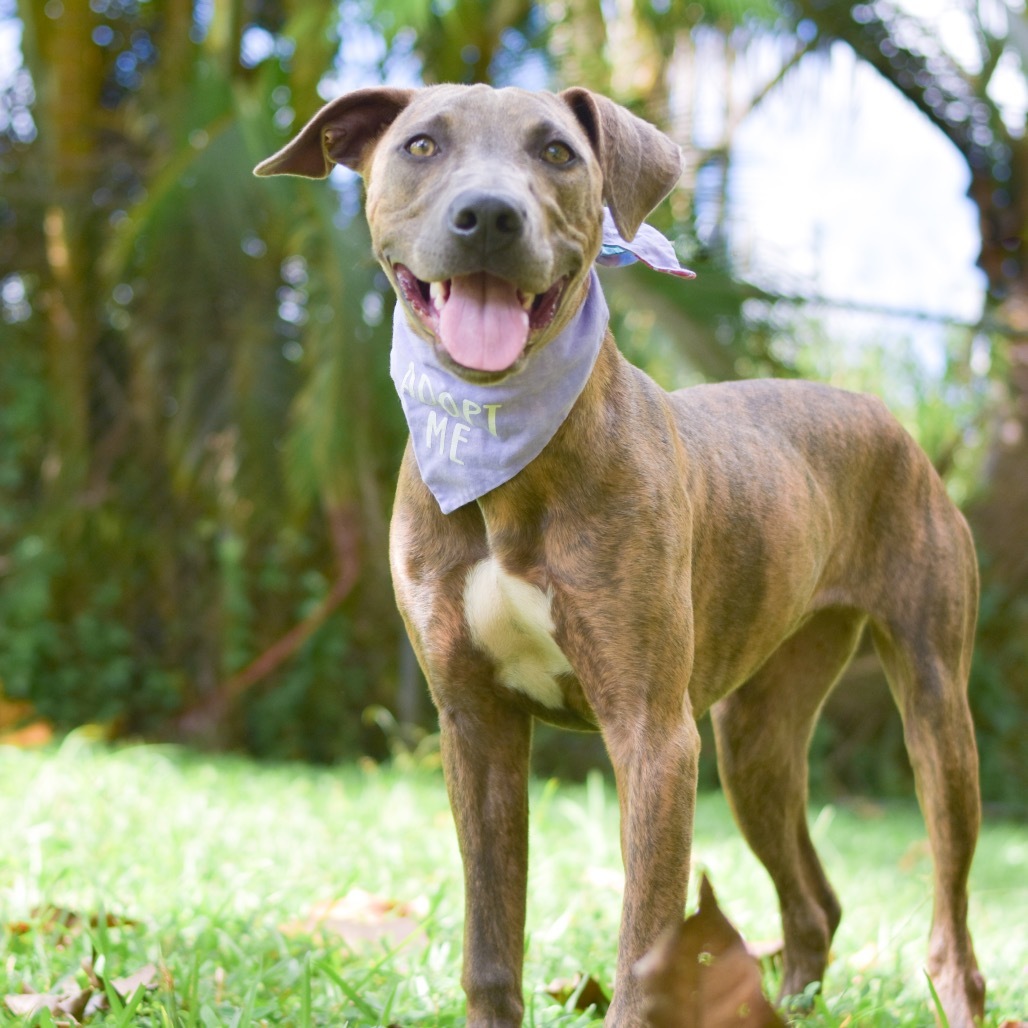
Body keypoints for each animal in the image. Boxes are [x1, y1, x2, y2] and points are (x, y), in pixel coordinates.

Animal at [252, 84, 982, 1023]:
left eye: (557, 152)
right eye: (420, 145)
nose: (489, 215)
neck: (506, 458)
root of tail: (885, 416)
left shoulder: (654, 735)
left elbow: (644, 943)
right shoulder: (474, 724)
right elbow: (490, 940)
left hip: (934, 710)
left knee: (948, 921)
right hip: (757, 741)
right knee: (814, 900)